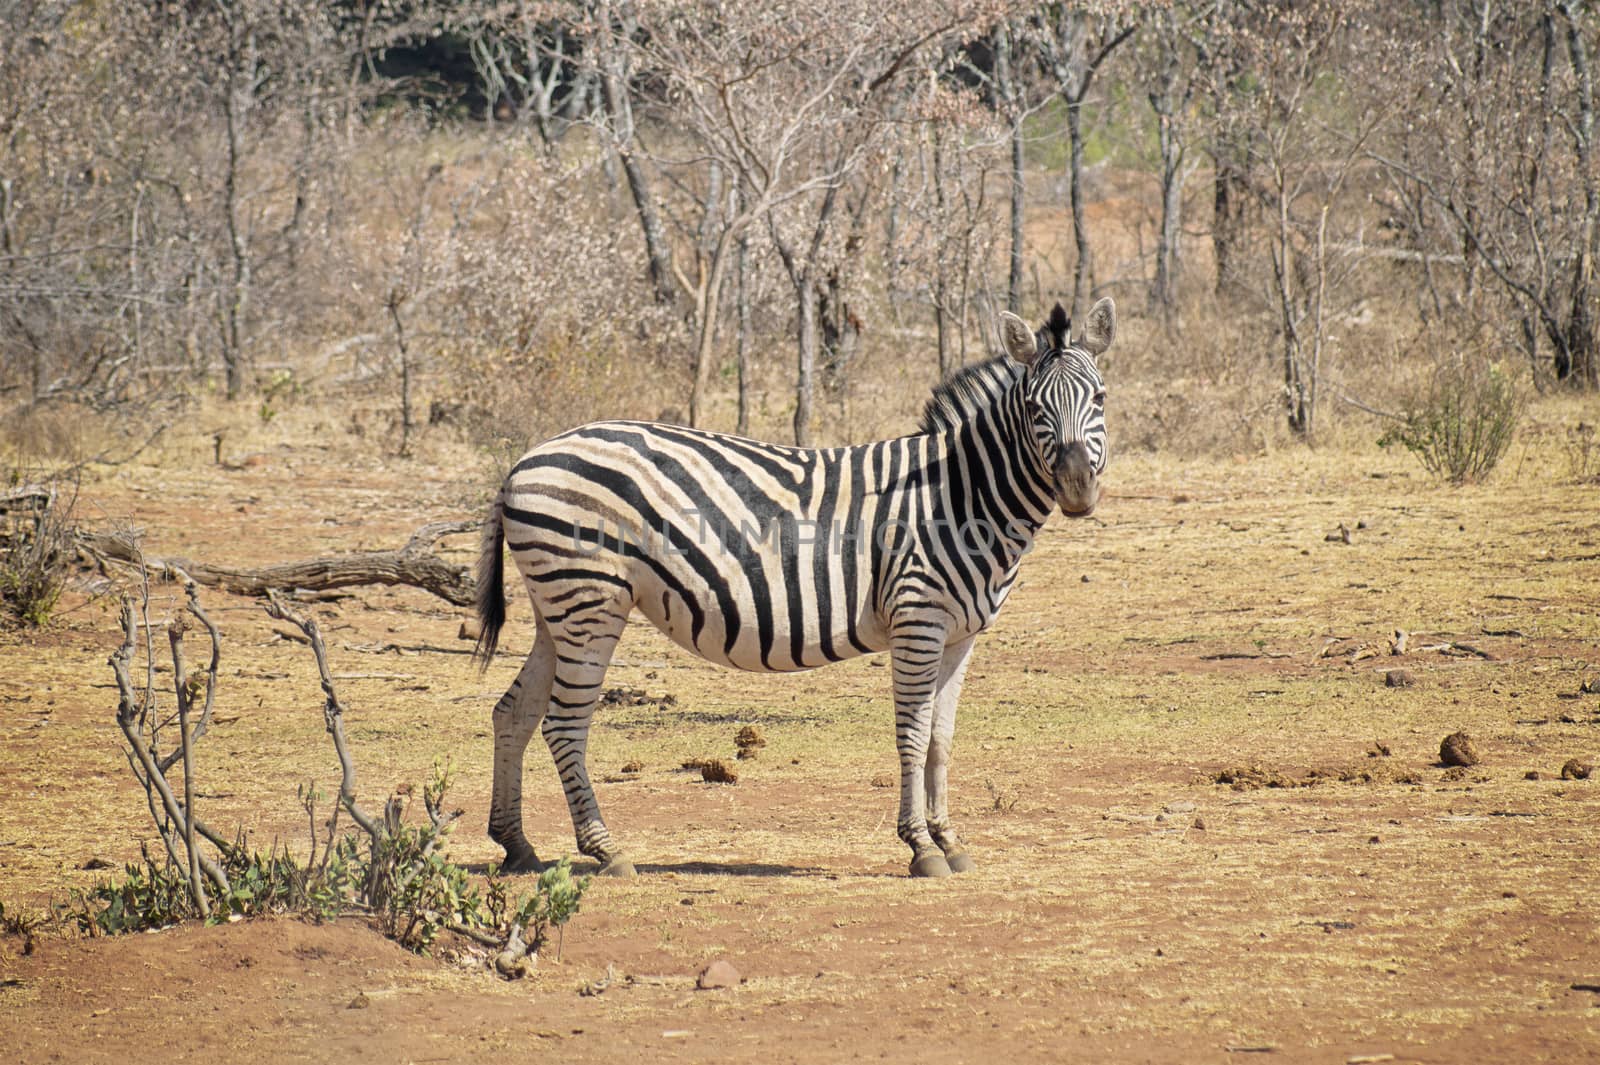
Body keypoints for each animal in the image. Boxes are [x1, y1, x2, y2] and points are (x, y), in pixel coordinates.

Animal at [473, 294, 1113, 876]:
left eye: (1100, 398)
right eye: (1033, 406)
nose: (1078, 487)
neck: (958, 496)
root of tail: (522, 463)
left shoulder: (960, 635)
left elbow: (942, 738)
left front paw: (950, 840)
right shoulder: (918, 620)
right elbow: (912, 733)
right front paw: (921, 848)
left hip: (557, 605)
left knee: (513, 712)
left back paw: (518, 846)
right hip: (590, 600)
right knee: (563, 724)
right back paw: (606, 850)